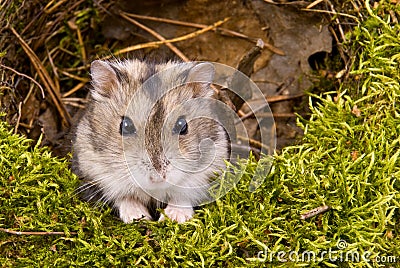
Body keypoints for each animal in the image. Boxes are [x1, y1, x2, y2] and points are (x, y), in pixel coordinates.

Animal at [70, 59, 230, 224]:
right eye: (125, 125)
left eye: (182, 125)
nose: (157, 178)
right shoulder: (96, 171)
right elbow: (124, 197)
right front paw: (138, 217)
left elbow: (183, 196)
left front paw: (173, 218)